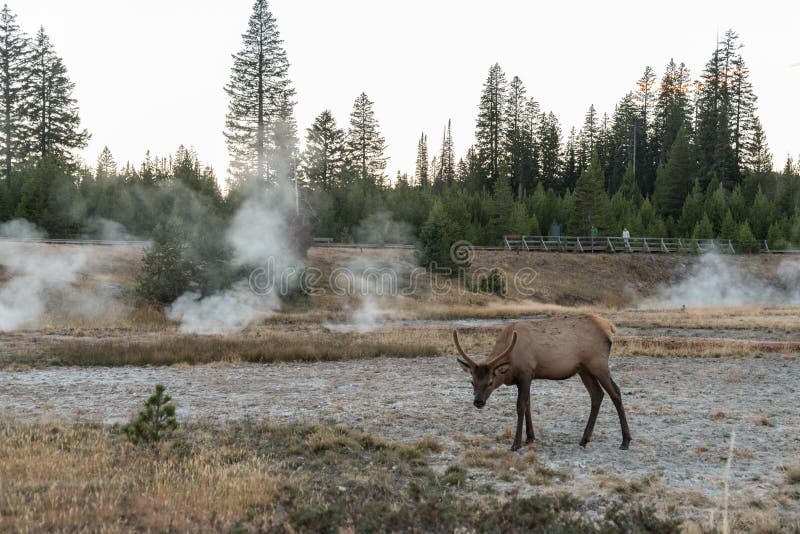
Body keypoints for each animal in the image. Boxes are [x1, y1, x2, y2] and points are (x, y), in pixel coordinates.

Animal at [454, 316, 628, 454]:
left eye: (490, 381)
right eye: (472, 381)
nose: (478, 402)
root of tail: (610, 328)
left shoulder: (526, 373)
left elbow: (520, 406)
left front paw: (516, 443)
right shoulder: (528, 378)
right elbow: (528, 404)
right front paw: (530, 438)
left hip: (598, 364)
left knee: (616, 393)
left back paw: (625, 441)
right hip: (584, 369)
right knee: (597, 394)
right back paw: (584, 439)